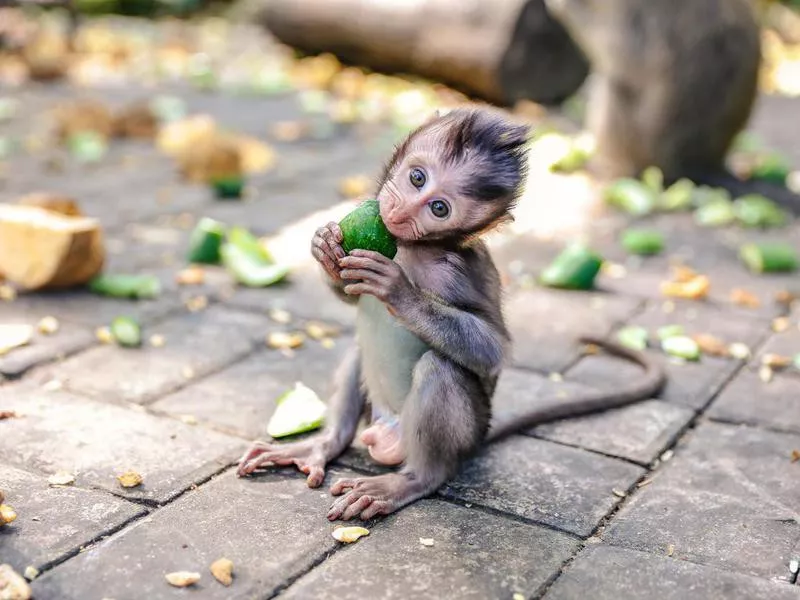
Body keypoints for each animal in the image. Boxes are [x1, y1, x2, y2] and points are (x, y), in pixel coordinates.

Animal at [236, 108, 664, 520]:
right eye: (417, 178)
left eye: (439, 208)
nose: (403, 211)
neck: (411, 248)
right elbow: (350, 293)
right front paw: (324, 247)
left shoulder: (458, 271)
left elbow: (493, 348)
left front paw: (400, 291)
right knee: (358, 351)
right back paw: (323, 445)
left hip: (460, 431)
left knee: (440, 369)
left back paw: (413, 480)